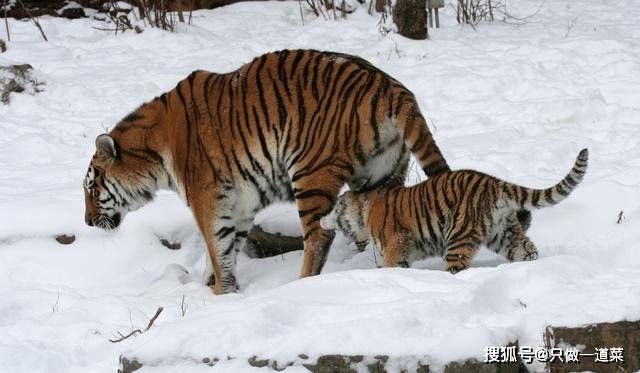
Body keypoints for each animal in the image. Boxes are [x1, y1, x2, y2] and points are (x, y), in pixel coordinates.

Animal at [82, 49, 448, 294]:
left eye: (91, 189)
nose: (86, 221)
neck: (154, 152)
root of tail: (390, 86)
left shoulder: (207, 198)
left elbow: (217, 247)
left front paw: (220, 293)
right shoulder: (240, 203)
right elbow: (225, 248)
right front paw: (212, 285)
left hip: (310, 172)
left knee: (319, 237)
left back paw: (301, 285)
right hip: (381, 176)